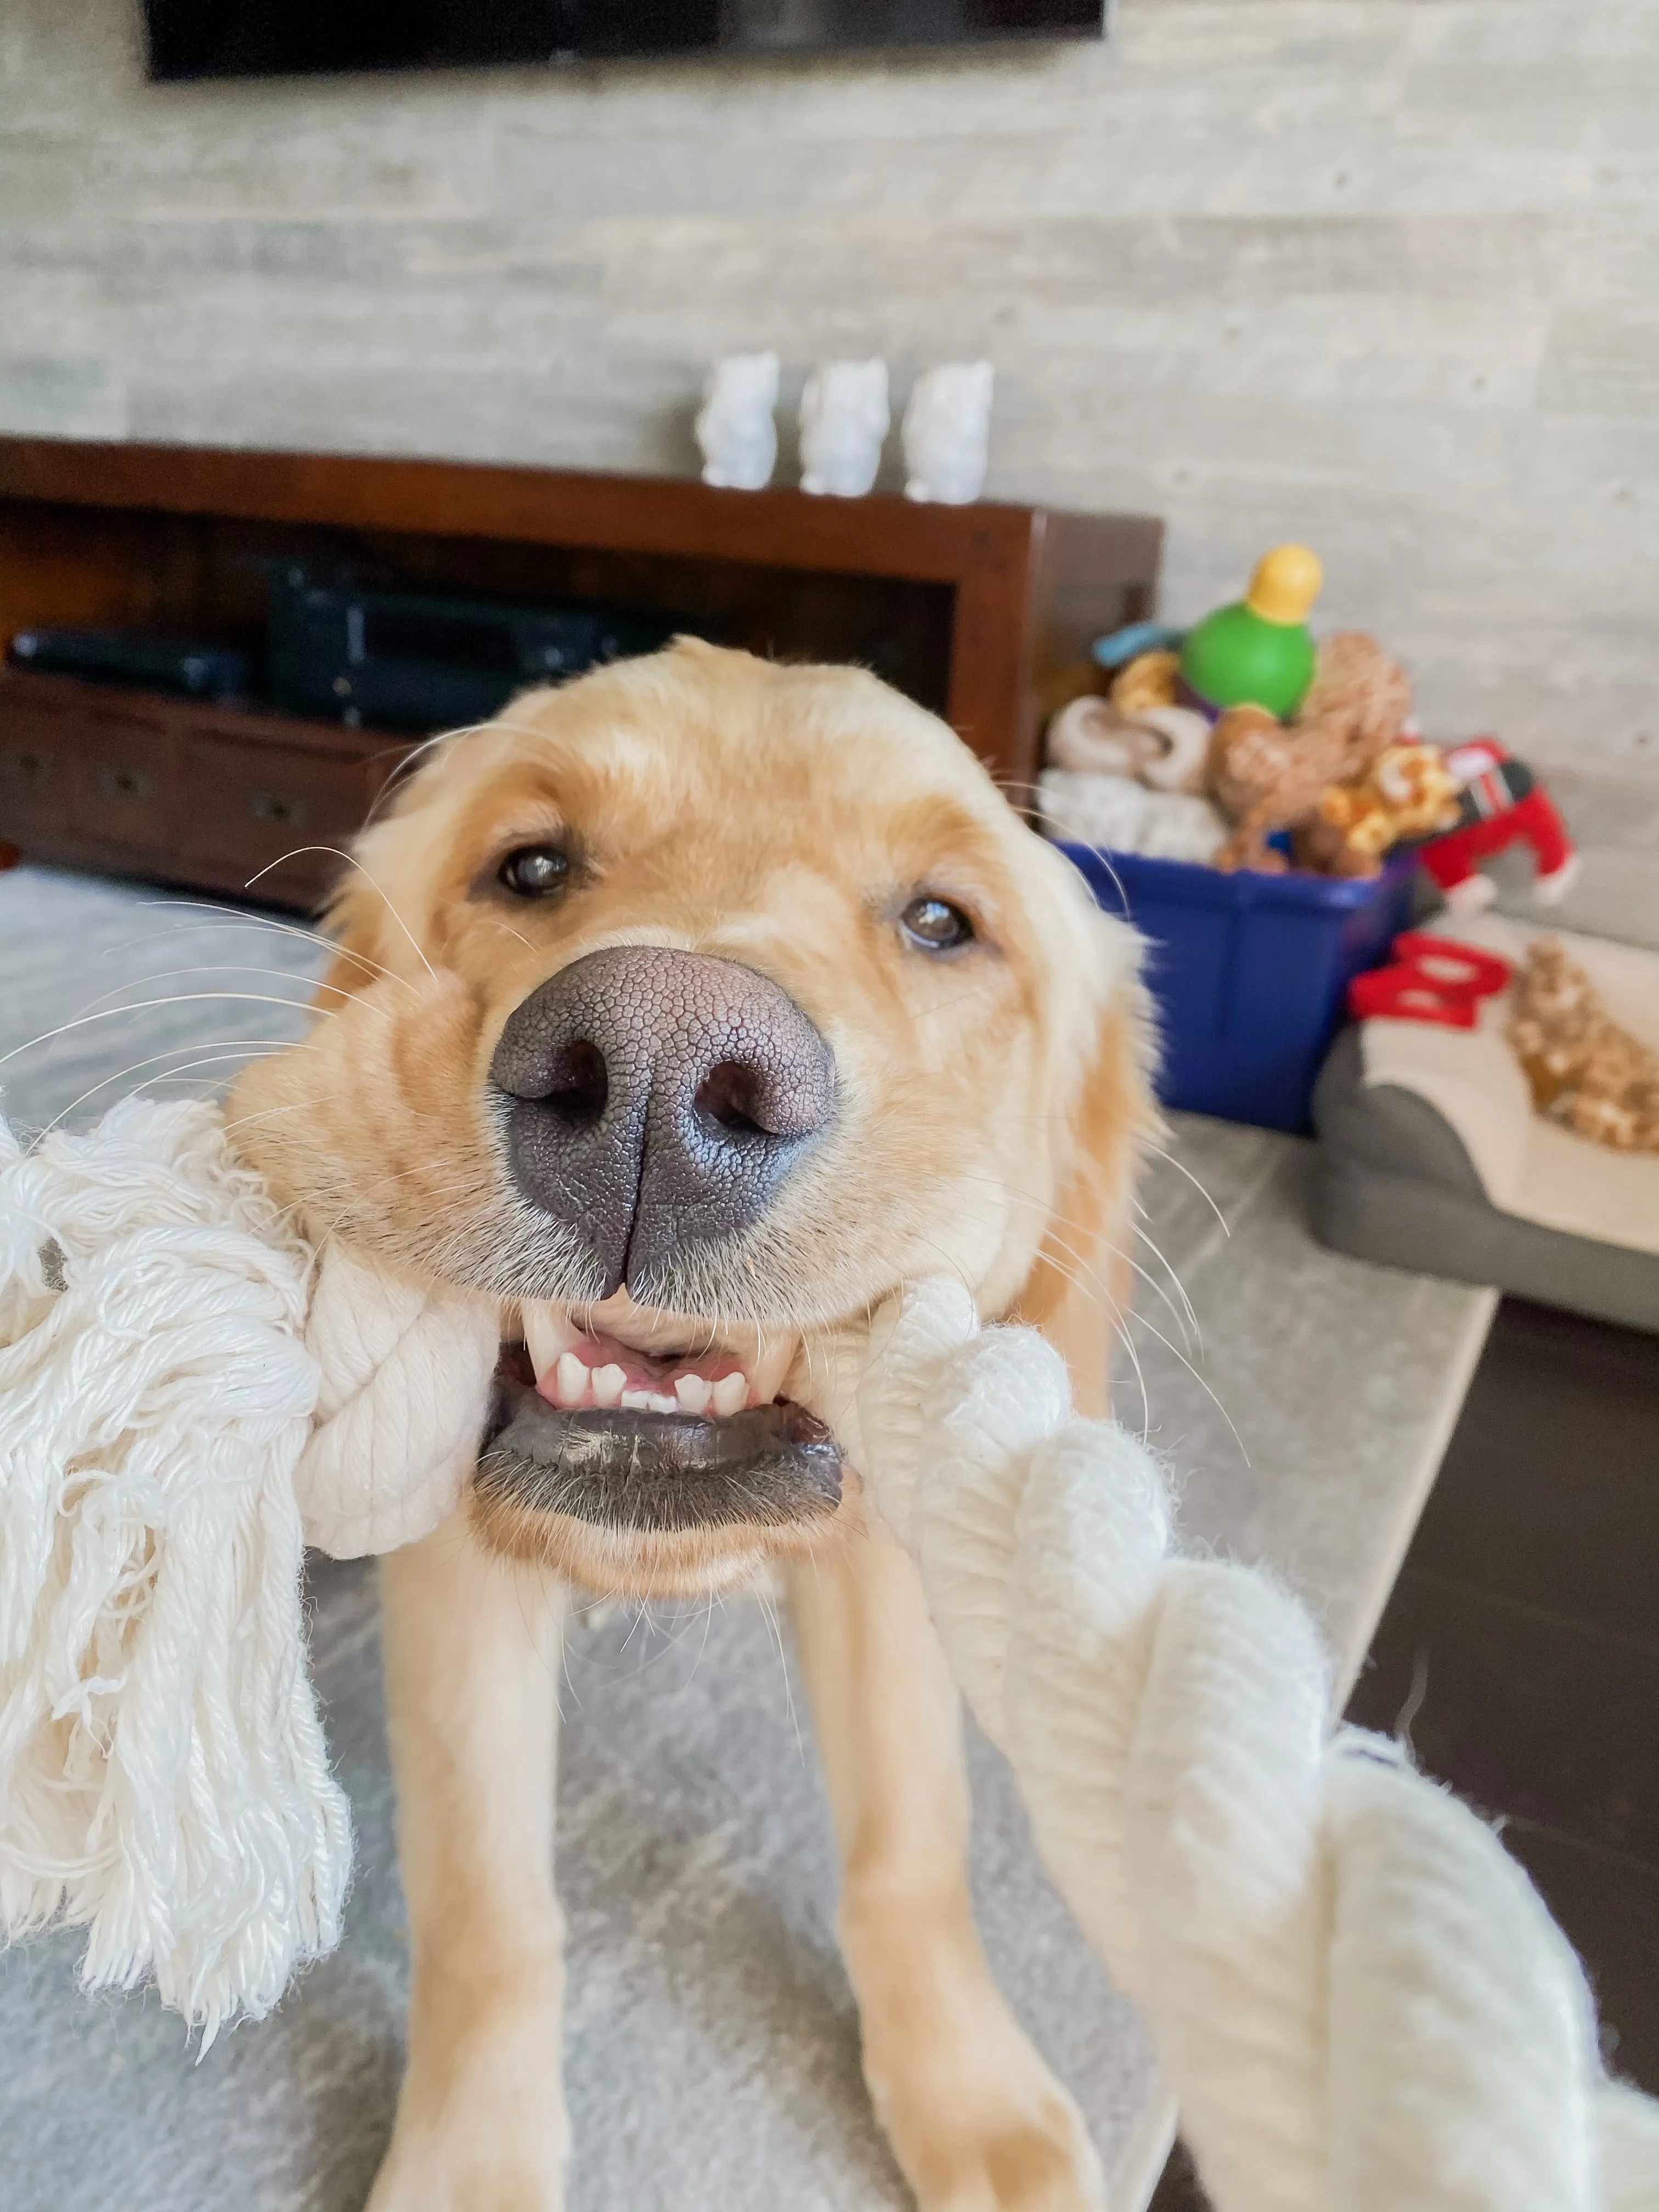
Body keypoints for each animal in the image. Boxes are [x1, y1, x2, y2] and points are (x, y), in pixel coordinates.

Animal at [228, 641, 1150, 2212]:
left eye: (941, 922)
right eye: (532, 864)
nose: (657, 1079)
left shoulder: (881, 1551)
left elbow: (911, 1845)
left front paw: (966, 2092)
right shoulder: (462, 1574)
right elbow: (486, 1903)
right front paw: (474, 2155)